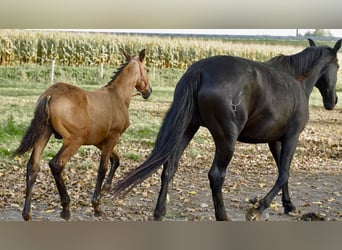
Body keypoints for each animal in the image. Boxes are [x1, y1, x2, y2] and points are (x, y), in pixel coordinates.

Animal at [14, 48, 151, 221]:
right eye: (147, 69)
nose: (148, 92)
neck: (118, 96)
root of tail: (50, 94)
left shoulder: (99, 141)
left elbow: (116, 159)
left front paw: (107, 187)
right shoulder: (113, 137)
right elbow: (103, 167)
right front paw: (96, 205)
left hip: (43, 134)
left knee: (33, 166)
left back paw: (27, 213)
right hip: (73, 141)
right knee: (56, 164)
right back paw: (66, 208)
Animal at [113, 39, 340, 221]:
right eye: (337, 66)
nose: (333, 101)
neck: (295, 81)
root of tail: (199, 71)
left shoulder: (275, 140)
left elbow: (283, 171)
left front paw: (289, 205)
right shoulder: (292, 137)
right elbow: (284, 173)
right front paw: (258, 209)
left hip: (187, 129)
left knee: (169, 167)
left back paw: (159, 212)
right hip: (226, 140)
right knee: (216, 175)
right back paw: (222, 216)